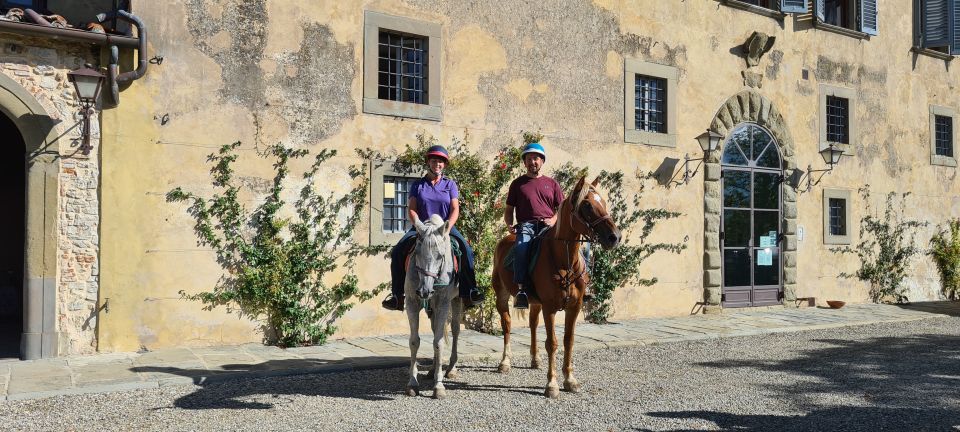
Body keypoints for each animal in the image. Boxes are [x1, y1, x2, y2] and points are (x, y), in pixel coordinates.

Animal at [404, 214, 463, 399]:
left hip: (456, 300)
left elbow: (439, 343)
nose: (424, 291)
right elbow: (414, 341)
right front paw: (412, 382)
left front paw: (439, 386)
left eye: (440, 255)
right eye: (417, 252)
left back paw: (451, 369)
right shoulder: (412, 303)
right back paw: (432, 370)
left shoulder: (443, 305)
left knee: (455, 330)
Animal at [491, 176, 622, 398]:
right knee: (506, 325)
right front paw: (551, 384)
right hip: (502, 294)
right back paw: (505, 362)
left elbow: (569, 341)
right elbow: (552, 343)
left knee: (533, 324)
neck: (563, 261)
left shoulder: (574, 306)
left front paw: (570, 380)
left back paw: (535, 360)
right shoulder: (550, 307)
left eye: (603, 201)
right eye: (587, 205)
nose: (614, 237)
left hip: (535, 302)